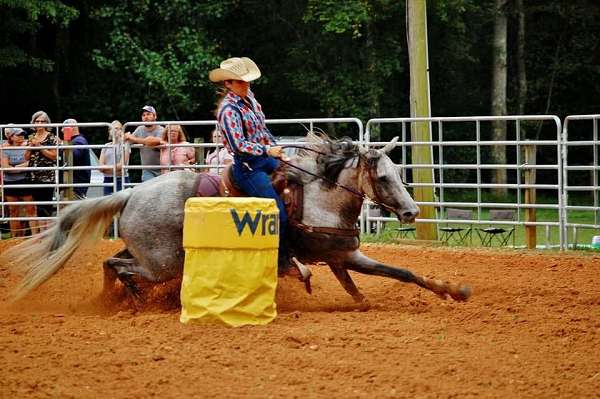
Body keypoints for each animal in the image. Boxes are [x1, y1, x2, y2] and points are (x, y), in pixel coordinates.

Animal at [5, 134, 474, 306]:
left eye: (399, 173)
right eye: (383, 176)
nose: (412, 212)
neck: (320, 197)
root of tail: (131, 191)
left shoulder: (342, 257)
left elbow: (399, 273)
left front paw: (454, 290)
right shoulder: (336, 256)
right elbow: (388, 273)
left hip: (149, 252)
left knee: (113, 263)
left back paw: (118, 301)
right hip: (163, 262)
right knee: (117, 265)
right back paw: (134, 300)